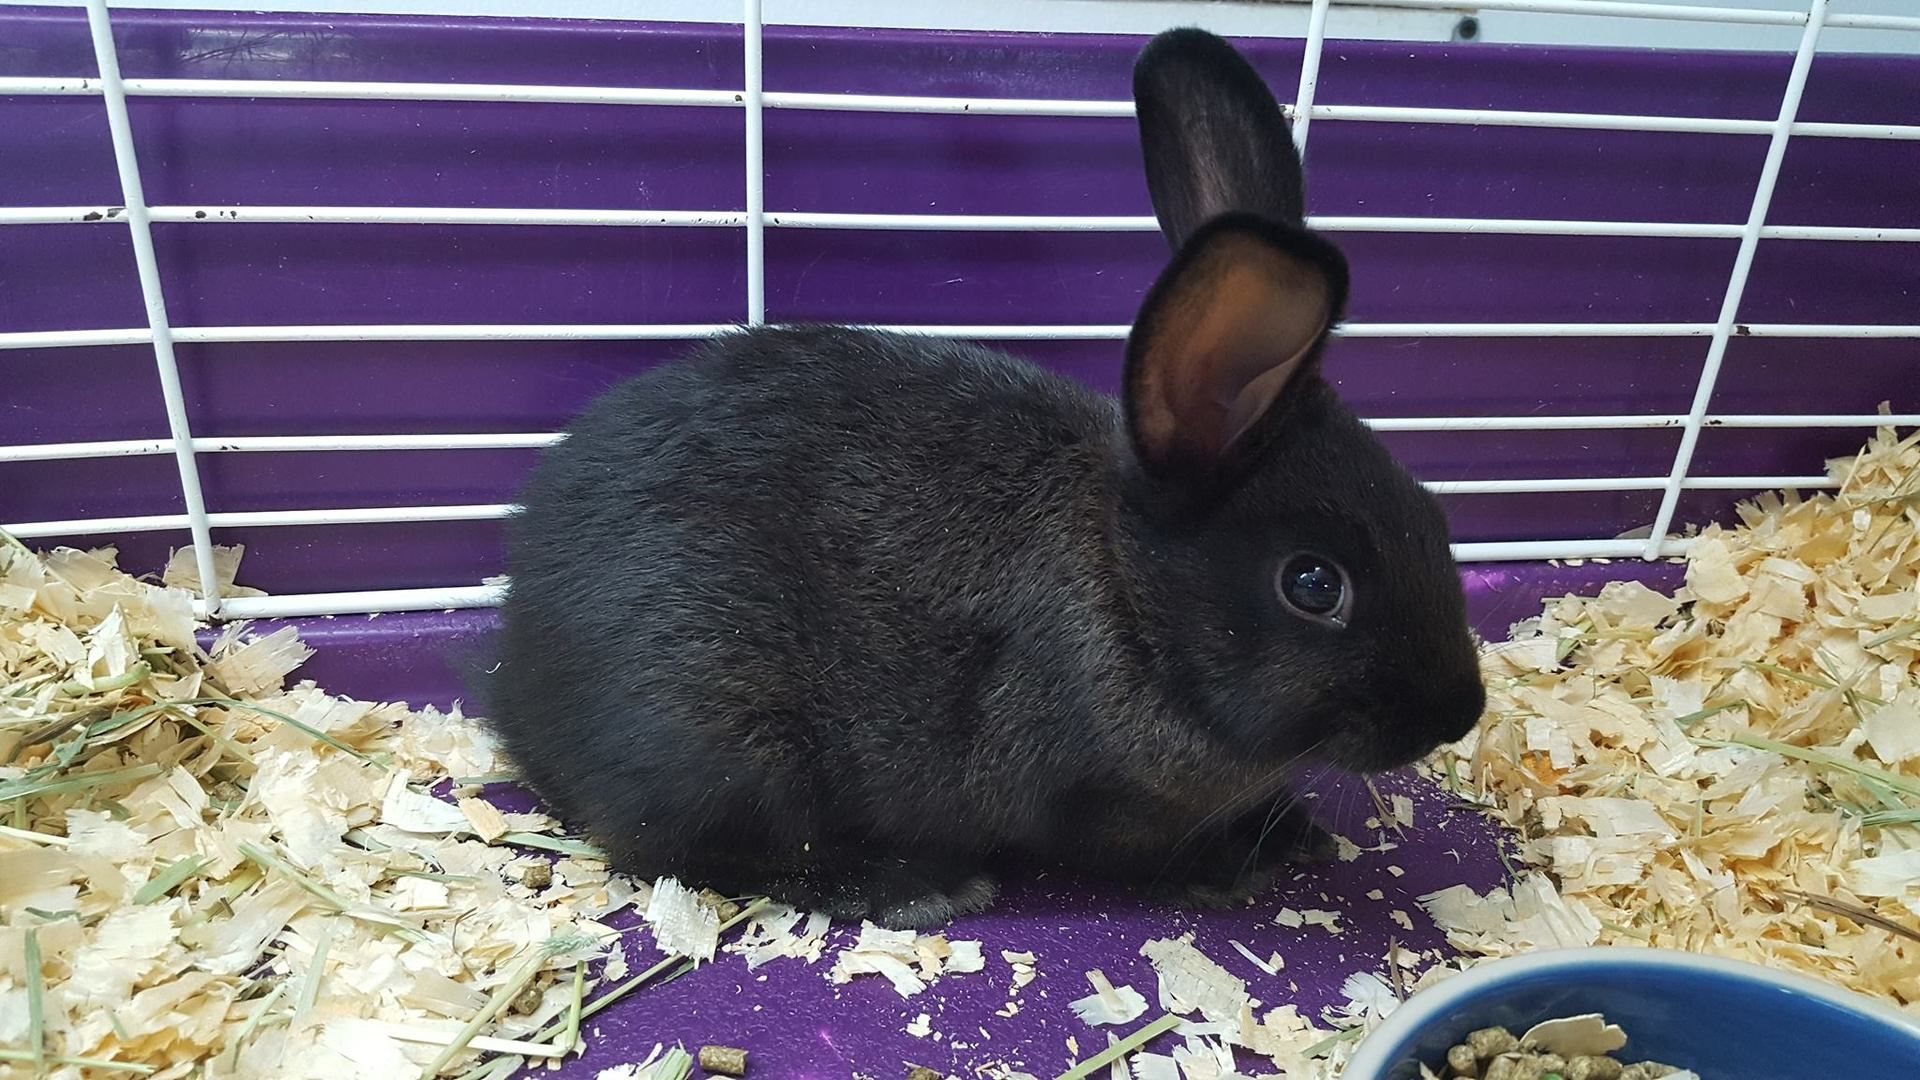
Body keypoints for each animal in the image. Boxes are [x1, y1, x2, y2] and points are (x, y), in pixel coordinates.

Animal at [483, 27, 1487, 930]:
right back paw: (912, 885)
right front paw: (1243, 860)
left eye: (1432, 515)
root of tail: (515, 687)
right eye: (1313, 584)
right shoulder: (1090, 802)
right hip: (724, 744)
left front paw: (1297, 829)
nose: (1461, 712)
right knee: (705, 851)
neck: (1128, 594)